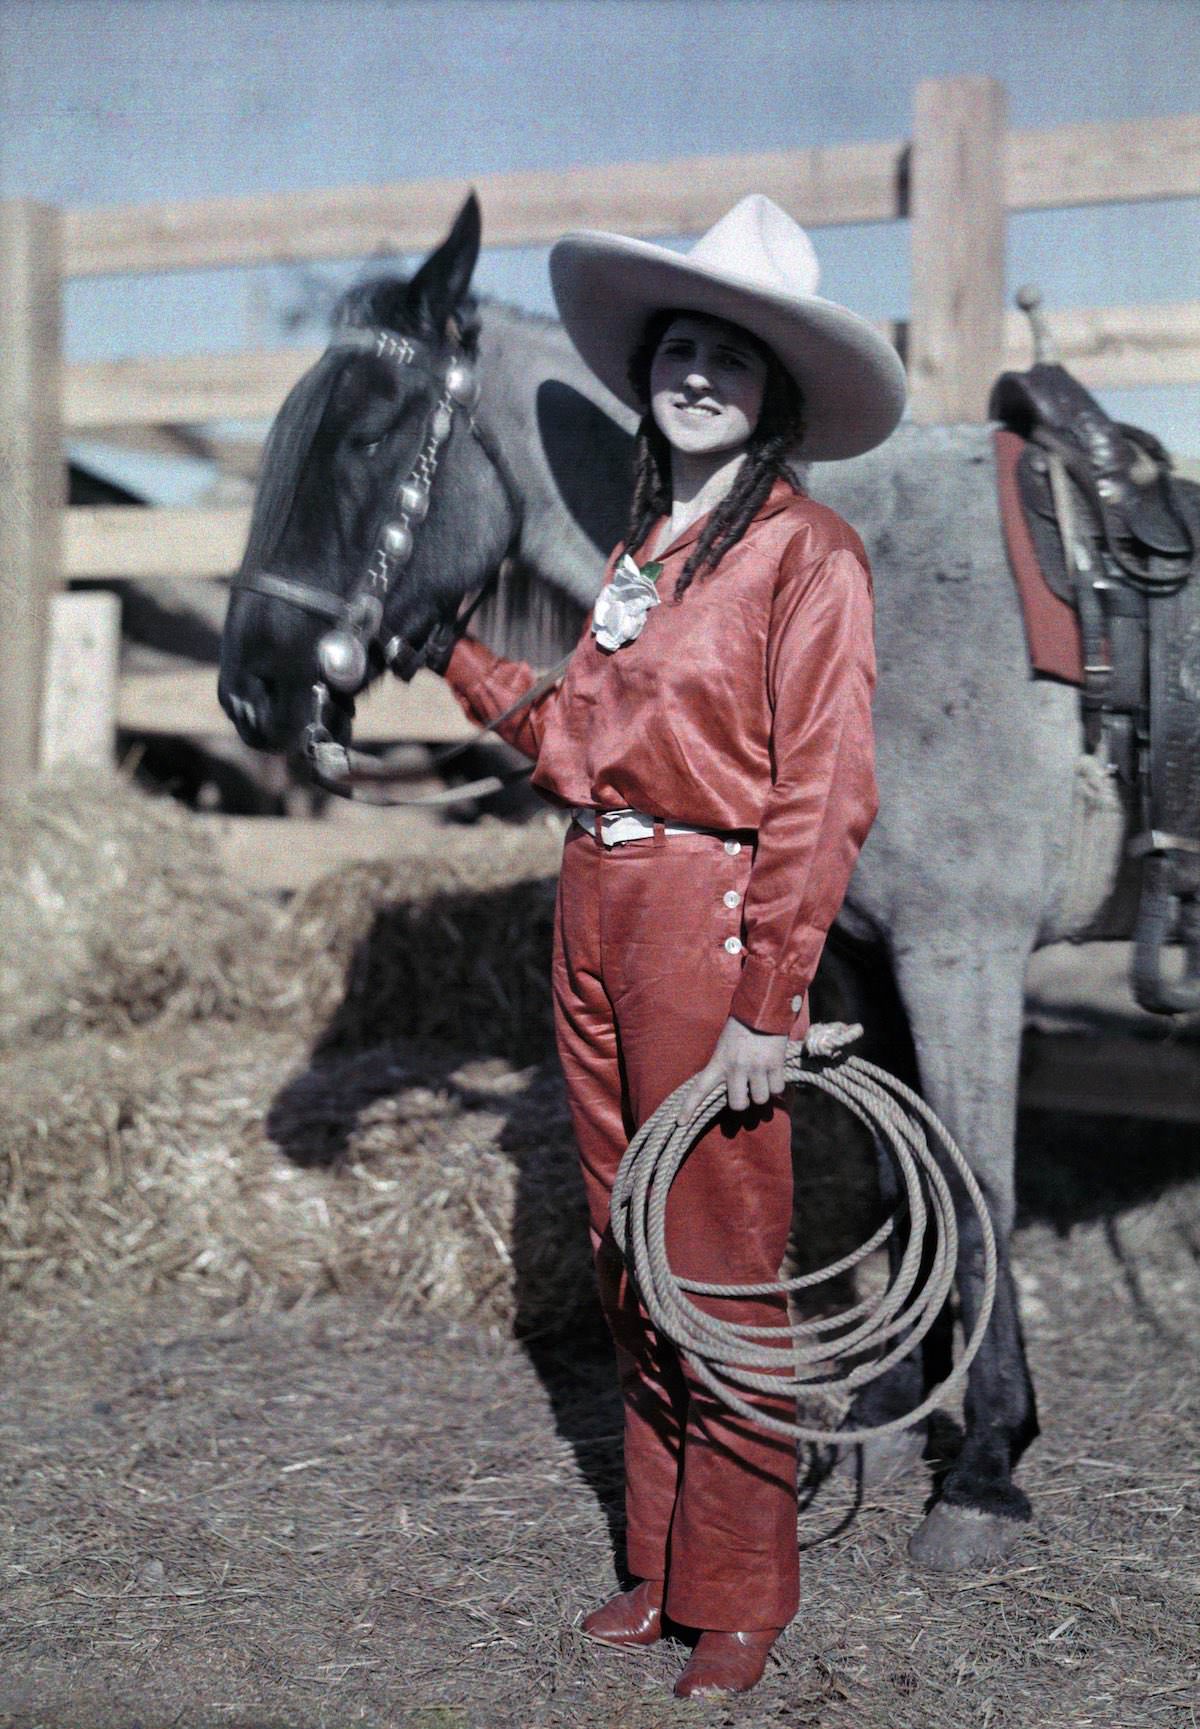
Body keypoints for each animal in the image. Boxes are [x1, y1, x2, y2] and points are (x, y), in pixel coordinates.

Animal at [218, 196, 1196, 1576]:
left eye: (362, 433)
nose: (252, 687)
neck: (872, 586)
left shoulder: (963, 954)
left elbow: (980, 1186)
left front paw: (989, 1460)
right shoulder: (860, 956)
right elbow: (903, 1177)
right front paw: (890, 1405)